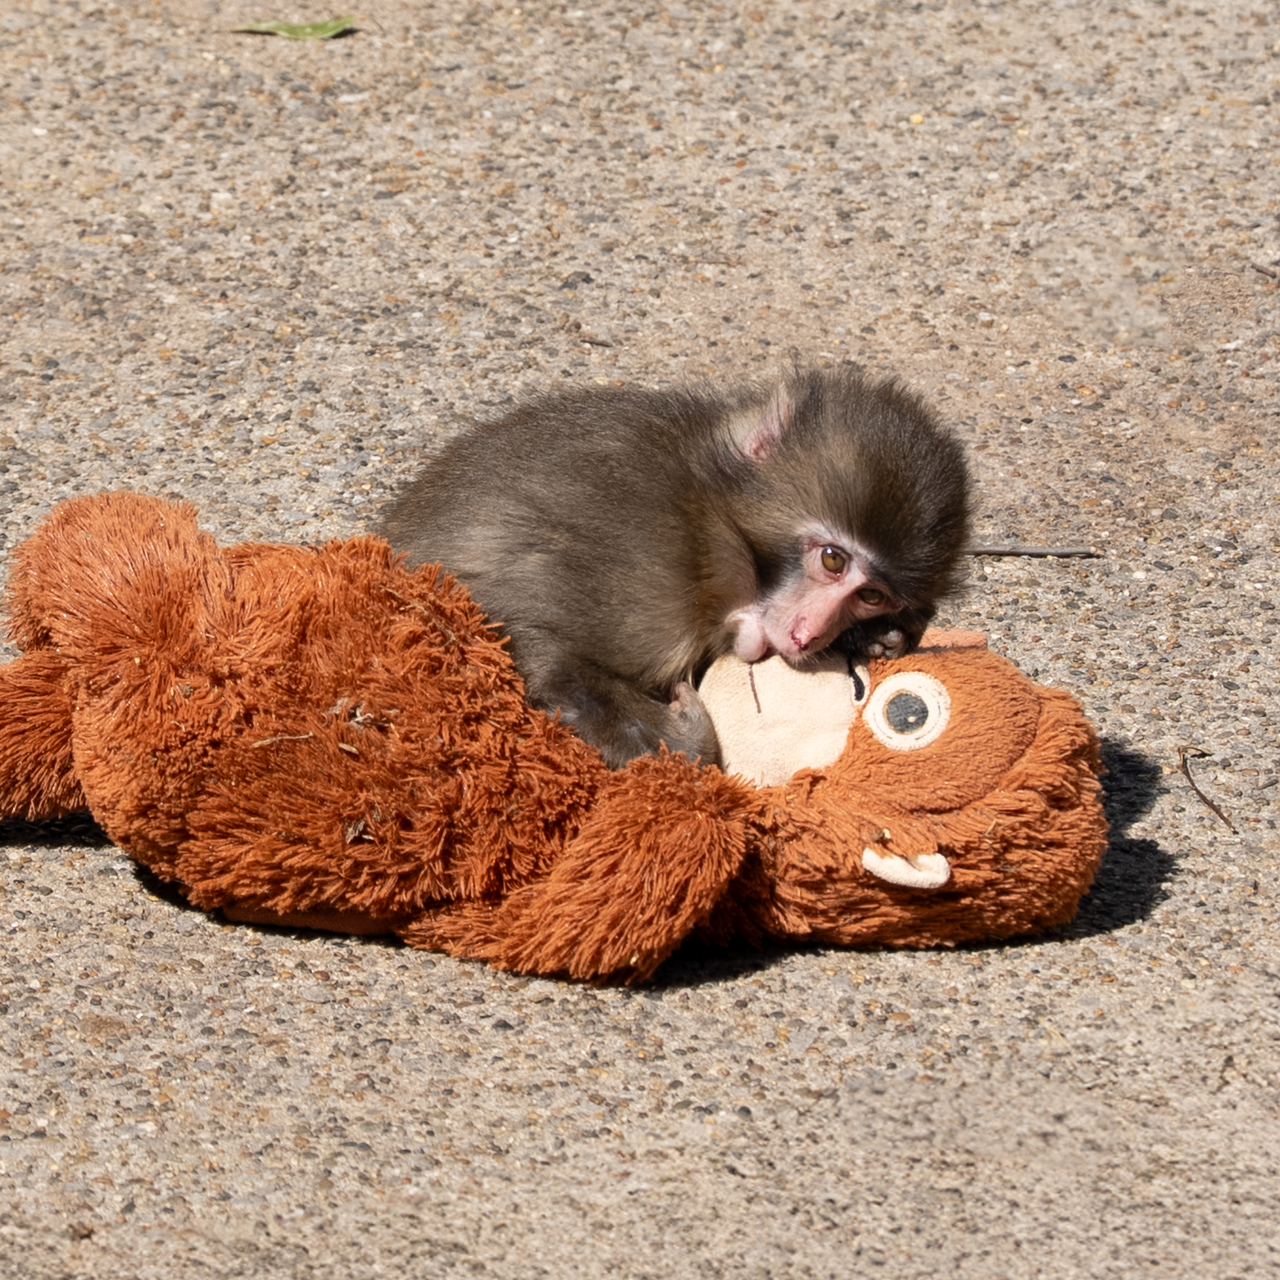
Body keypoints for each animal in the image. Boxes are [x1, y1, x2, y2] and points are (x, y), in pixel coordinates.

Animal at [378, 365, 970, 770]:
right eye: (832, 559)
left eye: (871, 596)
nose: (810, 634)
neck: (711, 521)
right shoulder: (648, 568)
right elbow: (529, 641)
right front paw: (687, 738)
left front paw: (877, 638)